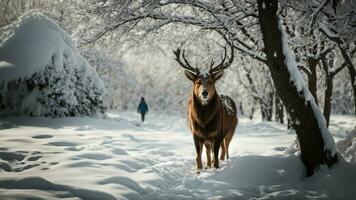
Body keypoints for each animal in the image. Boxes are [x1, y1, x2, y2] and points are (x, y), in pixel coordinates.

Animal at [173, 43, 238, 173]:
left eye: (211, 82)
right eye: (197, 82)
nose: (204, 93)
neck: (204, 120)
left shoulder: (217, 133)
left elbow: (216, 155)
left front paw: (216, 168)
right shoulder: (196, 133)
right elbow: (198, 155)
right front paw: (199, 170)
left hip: (230, 130)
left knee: (225, 149)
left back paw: (224, 161)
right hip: (209, 138)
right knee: (210, 151)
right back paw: (208, 165)